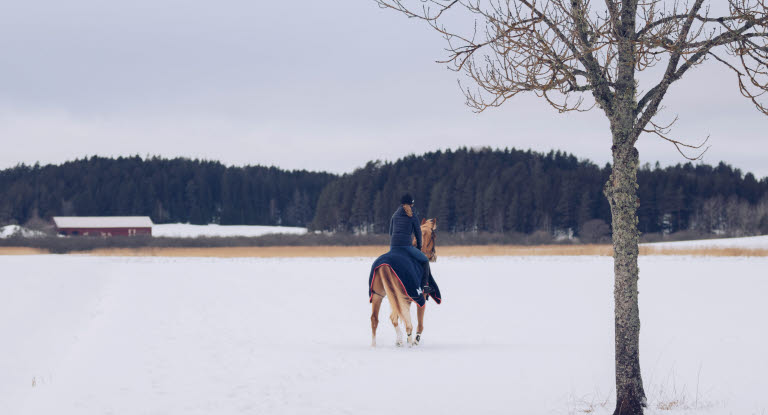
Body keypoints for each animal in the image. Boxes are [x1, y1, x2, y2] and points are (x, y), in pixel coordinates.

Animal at [370, 218, 438, 348]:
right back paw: (408, 341)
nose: (434, 257)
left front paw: (400, 341)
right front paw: (415, 340)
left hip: (378, 295)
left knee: (375, 319)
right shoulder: (418, 296)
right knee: (401, 320)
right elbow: (419, 321)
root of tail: (385, 265)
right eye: (434, 236)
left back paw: (376, 345)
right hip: (402, 296)